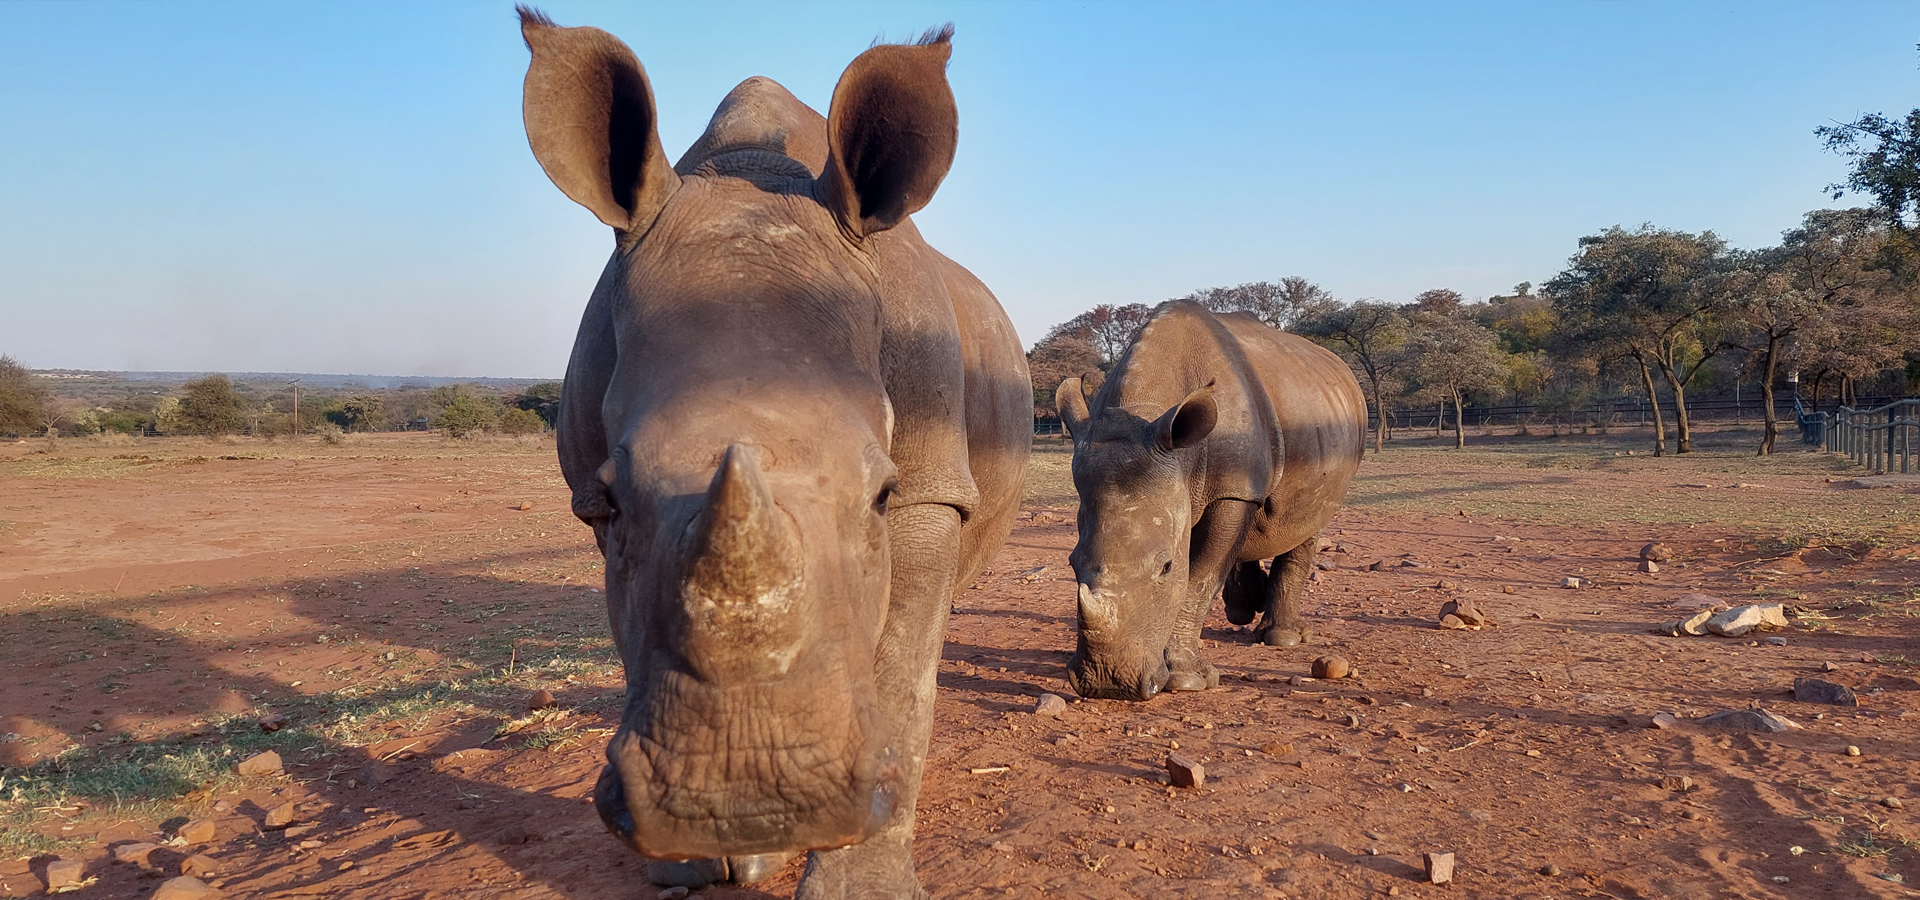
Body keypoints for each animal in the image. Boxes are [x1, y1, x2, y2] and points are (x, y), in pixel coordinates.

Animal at [516, 10, 1030, 895]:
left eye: (883, 494)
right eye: (612, 501)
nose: (751, 792)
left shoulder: (931, 483)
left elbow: (899, 668)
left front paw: (860, 882)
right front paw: (699, 864)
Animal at [1055, 300, 1365, 701]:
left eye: (1166, 567)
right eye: (1071, 562)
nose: (1109, 684)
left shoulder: (1235, 489)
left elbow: (1200, 577)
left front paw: (1185, 680)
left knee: (1309, 521)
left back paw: (1282, 638)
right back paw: (1243, 608)